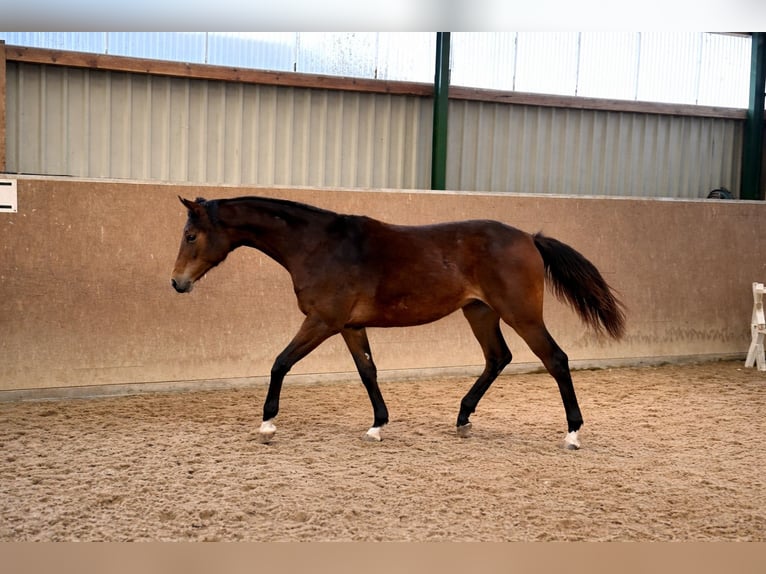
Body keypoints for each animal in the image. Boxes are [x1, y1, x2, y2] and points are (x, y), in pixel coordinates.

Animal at [171, 195, 625, 449]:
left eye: (191, 236)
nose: (177, 282)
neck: (318, 245)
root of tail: (529, 238)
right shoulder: (350, 326)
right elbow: (368, 371)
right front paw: (377, 426)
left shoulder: (322, 321)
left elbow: (281, 362)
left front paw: (267, 424)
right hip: (479, 312)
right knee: (498, 358)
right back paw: (463, 419)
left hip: (521, 314)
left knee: (556, 360)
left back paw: (572, 433)